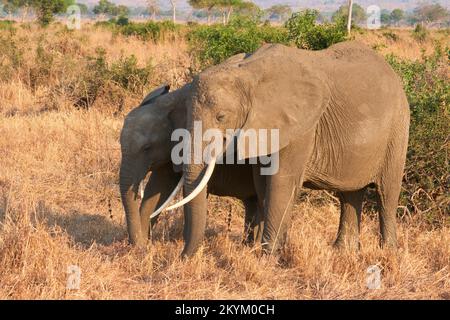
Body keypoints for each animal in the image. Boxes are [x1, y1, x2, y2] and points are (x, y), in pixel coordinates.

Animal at [163, 42, 410, 258]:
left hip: (398, 129)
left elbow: (281, 182)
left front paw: (268, 257)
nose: (182, 258)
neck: (248, 73)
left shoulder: (301, 128)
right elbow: (262, 183)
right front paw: (262, 249)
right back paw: (343, 252)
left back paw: (389, 253)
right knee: (350, 193)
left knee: (386, 192)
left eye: (221, 117)